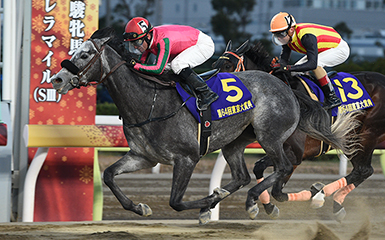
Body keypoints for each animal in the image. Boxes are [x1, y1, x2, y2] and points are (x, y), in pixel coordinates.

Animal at [51, 28, 356, 225]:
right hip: (235, 142)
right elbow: (109, 175)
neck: (148, 102)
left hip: (270, 136)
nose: (57, 79)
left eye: (85, 54)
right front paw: (140, 207)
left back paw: (254, 202)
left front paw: (208, 204)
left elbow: (175, 202)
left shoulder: (186, 158)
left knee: (281, 167)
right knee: (243, 175)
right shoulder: (143, 156)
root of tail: (285, 86)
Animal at [214, 39, 384, 221]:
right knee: (363, 171)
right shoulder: (281, 149)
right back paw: (334, 202)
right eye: (215, 65)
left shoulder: (296, 154)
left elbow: (278, 190)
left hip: (366, 135)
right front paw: (268, 206)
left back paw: (323, 195)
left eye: (228, 65)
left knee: (363, 170)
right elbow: (262, 172)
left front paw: (315, 195)